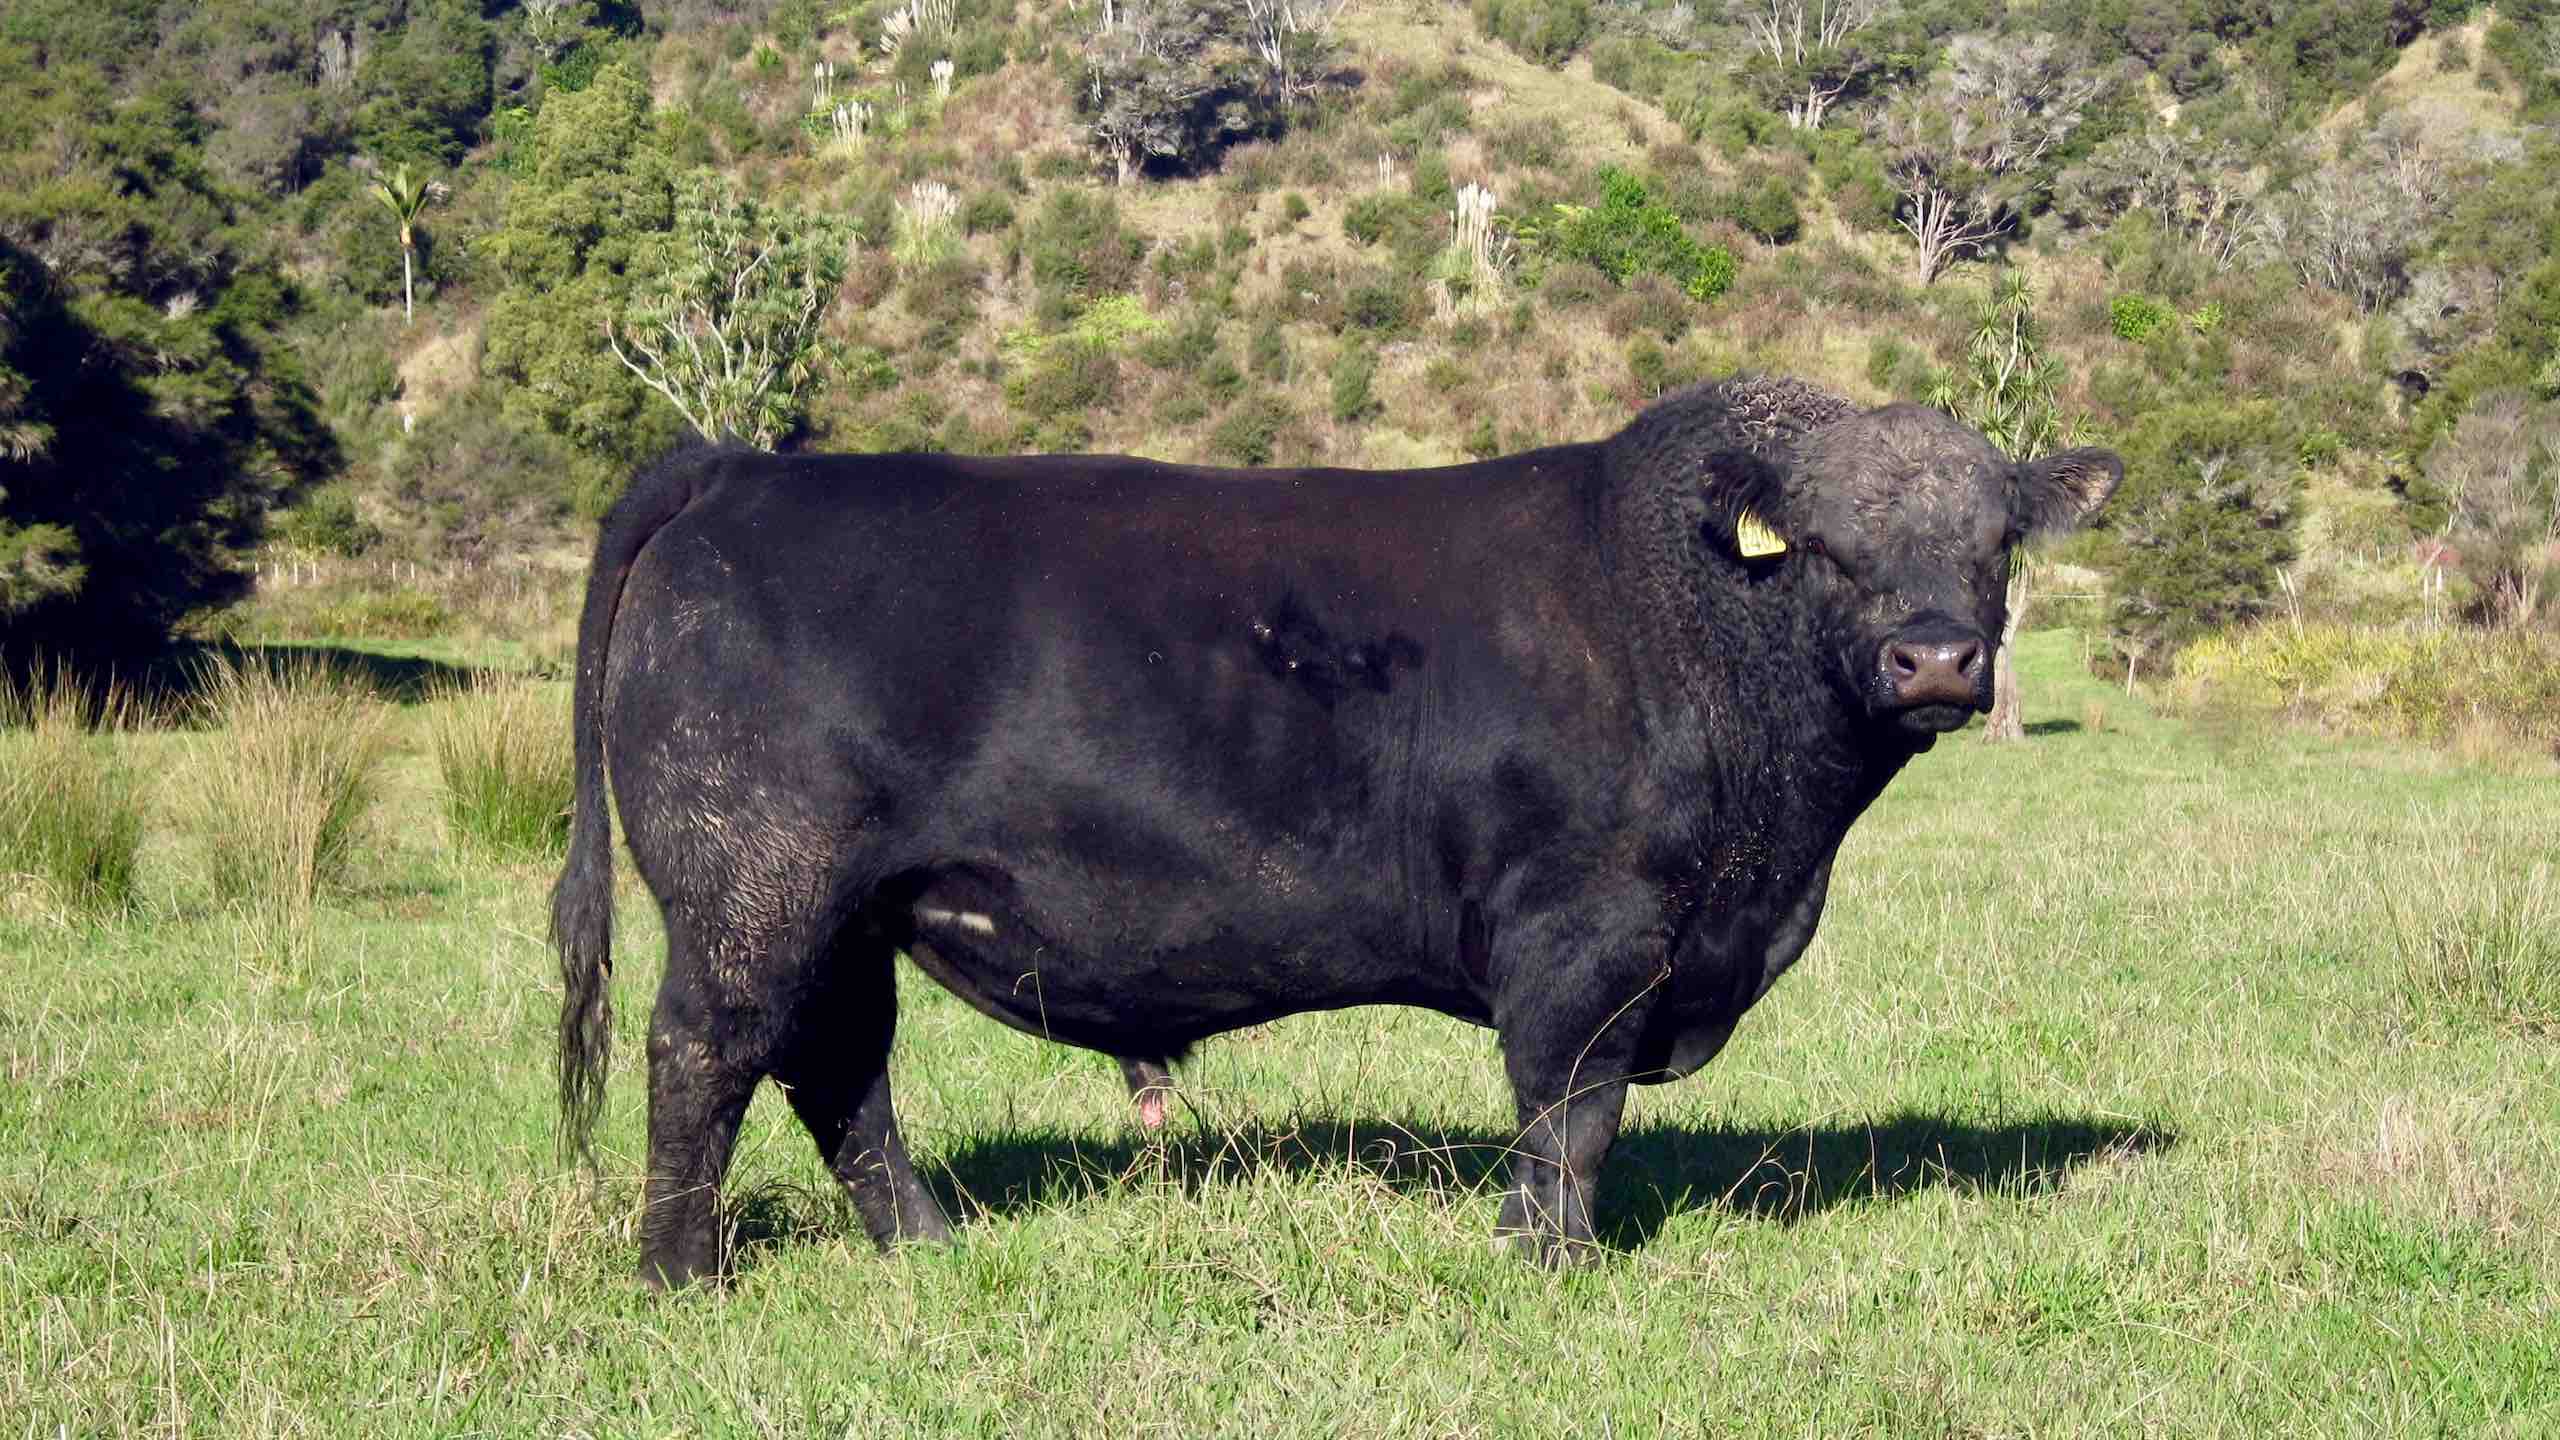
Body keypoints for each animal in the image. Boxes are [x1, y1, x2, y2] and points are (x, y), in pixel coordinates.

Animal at [550, 375, 2121, 1288]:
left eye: (1994, 545)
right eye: (1832, 549)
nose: (1938, 661)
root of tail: (743, 471)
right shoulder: (1587, 935)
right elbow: (1569, 1115)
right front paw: (1550, 1267)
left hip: (852, 912)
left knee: (838, 1069)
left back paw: (926, 1251)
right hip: (755, 887)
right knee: (708, 1053)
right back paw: (683, 1274)